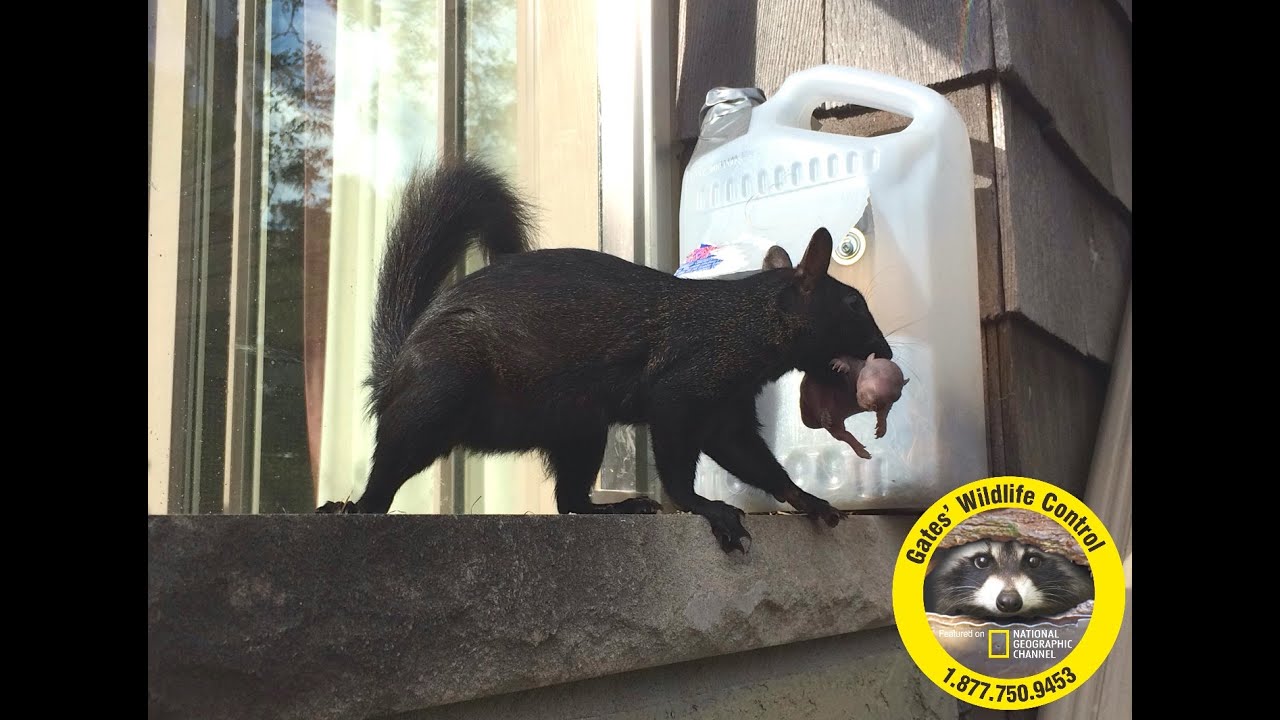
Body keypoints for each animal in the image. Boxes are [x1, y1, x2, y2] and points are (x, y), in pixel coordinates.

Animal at [316, 158, 894, 553]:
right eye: (853, 303)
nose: (884, 350)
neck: (744, 324)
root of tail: (398, 367)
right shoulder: (682, 387)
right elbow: (679, 462)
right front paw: (707, 509)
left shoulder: (726, 411)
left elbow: (751, 459)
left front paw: (807, 499)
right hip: (440, 394)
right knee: (390, 466)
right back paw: (352, 507)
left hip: (580, 428)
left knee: (569, 501)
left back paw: (625, 507)